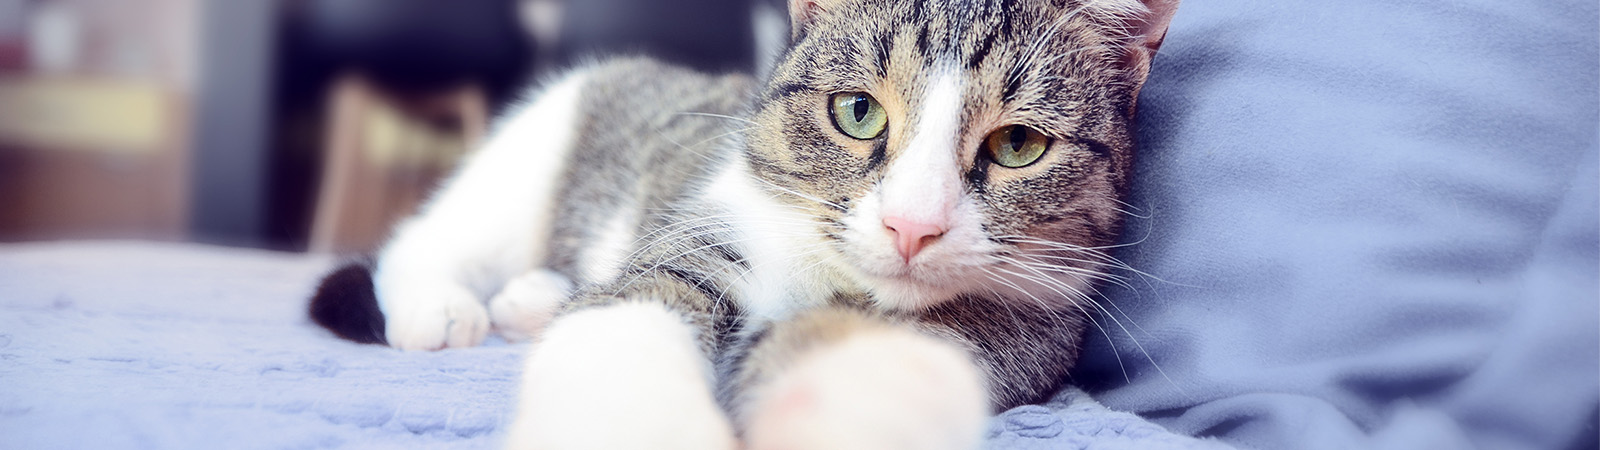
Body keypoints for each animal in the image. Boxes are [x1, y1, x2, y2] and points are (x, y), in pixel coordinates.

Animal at [312, 0, 1184, 445]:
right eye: (858, 112)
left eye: (1018, 145)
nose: (912, 225)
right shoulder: (707, 234)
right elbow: (631, 318)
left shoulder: (1027, 330)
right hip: (534, 155)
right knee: (424, 239)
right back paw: (441, 304)